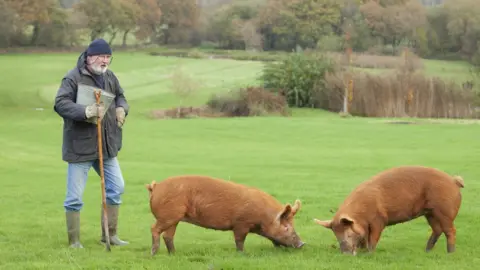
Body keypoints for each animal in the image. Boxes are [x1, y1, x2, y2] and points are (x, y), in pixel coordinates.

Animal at [144, 175, 306, 255]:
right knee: (154, 229)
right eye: (286, 227)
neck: (263, 216)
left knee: (168, 236)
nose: (302, 244)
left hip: (174, 219)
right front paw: (243, 254)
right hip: (167, 216)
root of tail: (156, 187)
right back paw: (153, 253)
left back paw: (174, 254)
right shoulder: (241, 223)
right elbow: (239, 240)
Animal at [314, 165, 464, 255]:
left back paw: (450, 253)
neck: (361, 214)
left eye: (349, 234)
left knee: (450, 230)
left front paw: (369, 253)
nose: (345, 254)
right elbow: (365, 237)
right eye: (336, 235)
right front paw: (363, 251)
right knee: (437, 230)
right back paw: (427, 250)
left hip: (444, 210)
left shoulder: (379, 220)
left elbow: (373, 237)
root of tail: (453, 180)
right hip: (430, 213)